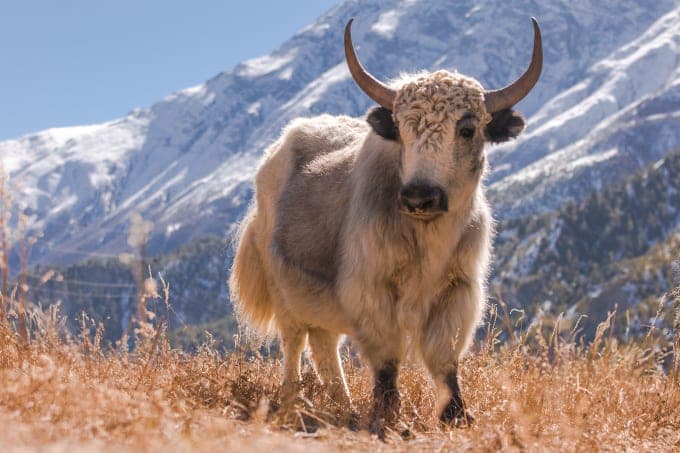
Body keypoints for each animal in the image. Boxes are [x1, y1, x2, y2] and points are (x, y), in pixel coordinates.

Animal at [230, 17, 542, 435]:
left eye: (466, 129)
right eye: (402, 130)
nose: (419, 197)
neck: (427, 239)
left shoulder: (457, 290)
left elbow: (444, 357)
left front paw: (457, 414)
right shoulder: (372, 290)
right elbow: (387, 358)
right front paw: (386, 413)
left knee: (324, 344)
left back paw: (342, 405)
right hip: (283, 292)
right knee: (295, 343)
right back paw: (293, 402)